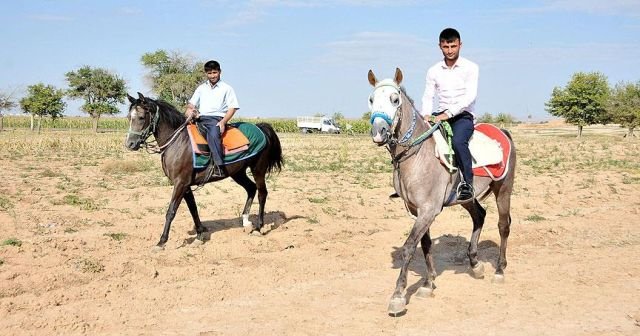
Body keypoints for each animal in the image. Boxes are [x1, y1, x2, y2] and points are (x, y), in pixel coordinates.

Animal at [124, 93, 282, 251]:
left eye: (141, 117)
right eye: (129, 117)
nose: (130, 144)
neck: (177, 142)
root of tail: (261, 127)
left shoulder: (180, 183)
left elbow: (171, 211)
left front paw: (161, 241)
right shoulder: (185, 185)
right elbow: (193, 209)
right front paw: (199, 235)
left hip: (258, 170)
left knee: (262, 194)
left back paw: (258, 228)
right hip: (238, 173)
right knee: (251, 189)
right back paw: (246, 222)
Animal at [368, 68, 516, 316]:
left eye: (395, 99)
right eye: (371, 100)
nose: (379, 132)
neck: (418, 155)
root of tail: (503, 131)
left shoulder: (429, 210)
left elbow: (409, 247)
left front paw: (398, 296)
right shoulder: (419, 211)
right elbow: (425, 244)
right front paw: (428, 284)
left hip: (503, 189)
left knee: (503, 226)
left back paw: (499, 270)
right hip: (466, 197)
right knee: (480, 216)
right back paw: (475, 264)